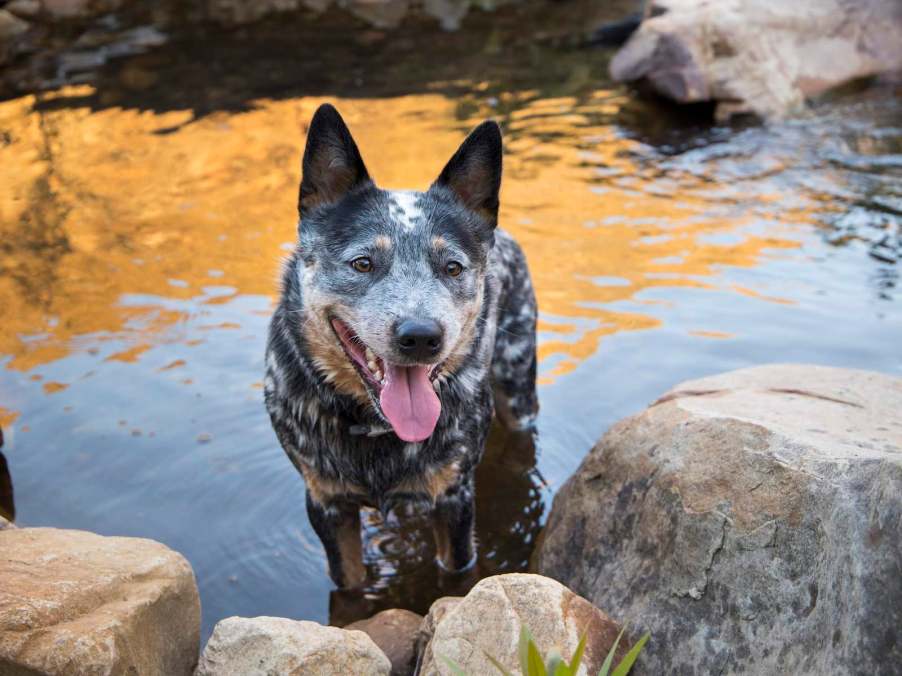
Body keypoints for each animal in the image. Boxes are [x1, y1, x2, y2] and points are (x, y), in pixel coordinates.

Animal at [264, 104, 540, 588]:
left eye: (452, 267)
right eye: (362, 263)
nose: (421, 336)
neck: (376, 429)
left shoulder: (454, 498)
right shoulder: (326, 503)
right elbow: (350, 583)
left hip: (518, 381)